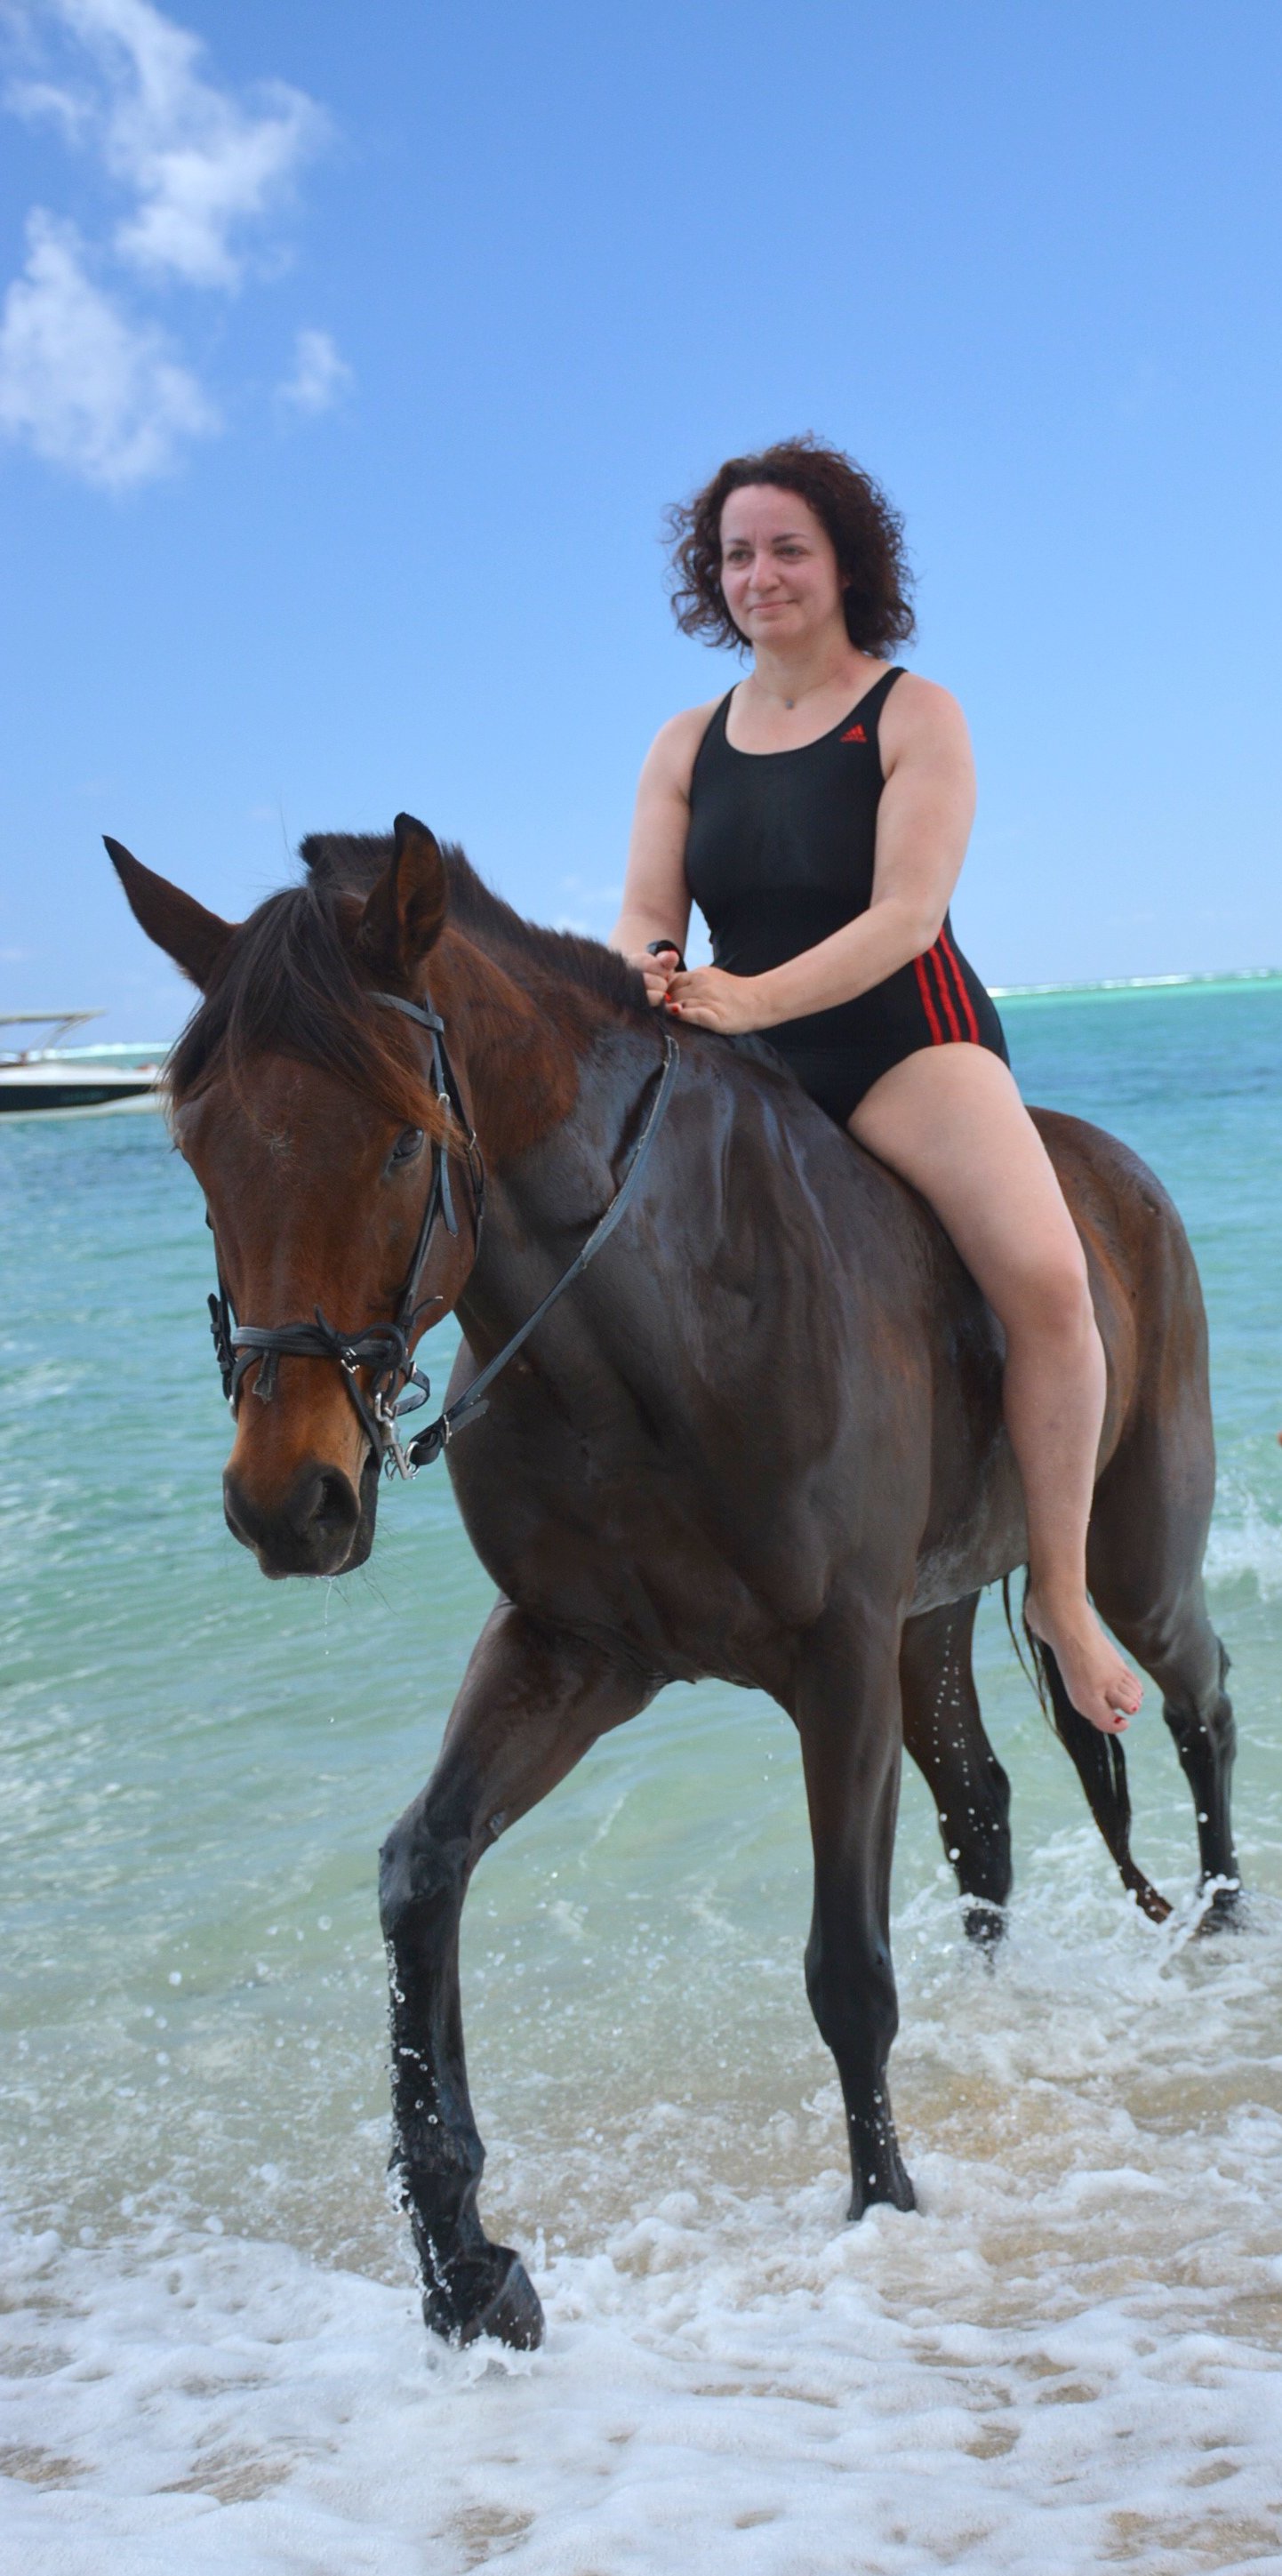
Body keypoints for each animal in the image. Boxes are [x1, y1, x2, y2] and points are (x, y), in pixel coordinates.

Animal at [108, 813, 1238, 2353]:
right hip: (930, 1617)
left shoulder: (833, 1662)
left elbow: (844, 1967)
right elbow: (420, 1870)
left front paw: (881, 2212)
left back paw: (1227, 1935)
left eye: (406, 1141)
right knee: (984, 1807)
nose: (289, 1504)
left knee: (1198, 1703)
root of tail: (1116, 1174)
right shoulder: (571, 1649)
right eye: (199, 1149)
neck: (648, 1312)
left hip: (1129, 1564)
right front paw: (465, 2264)